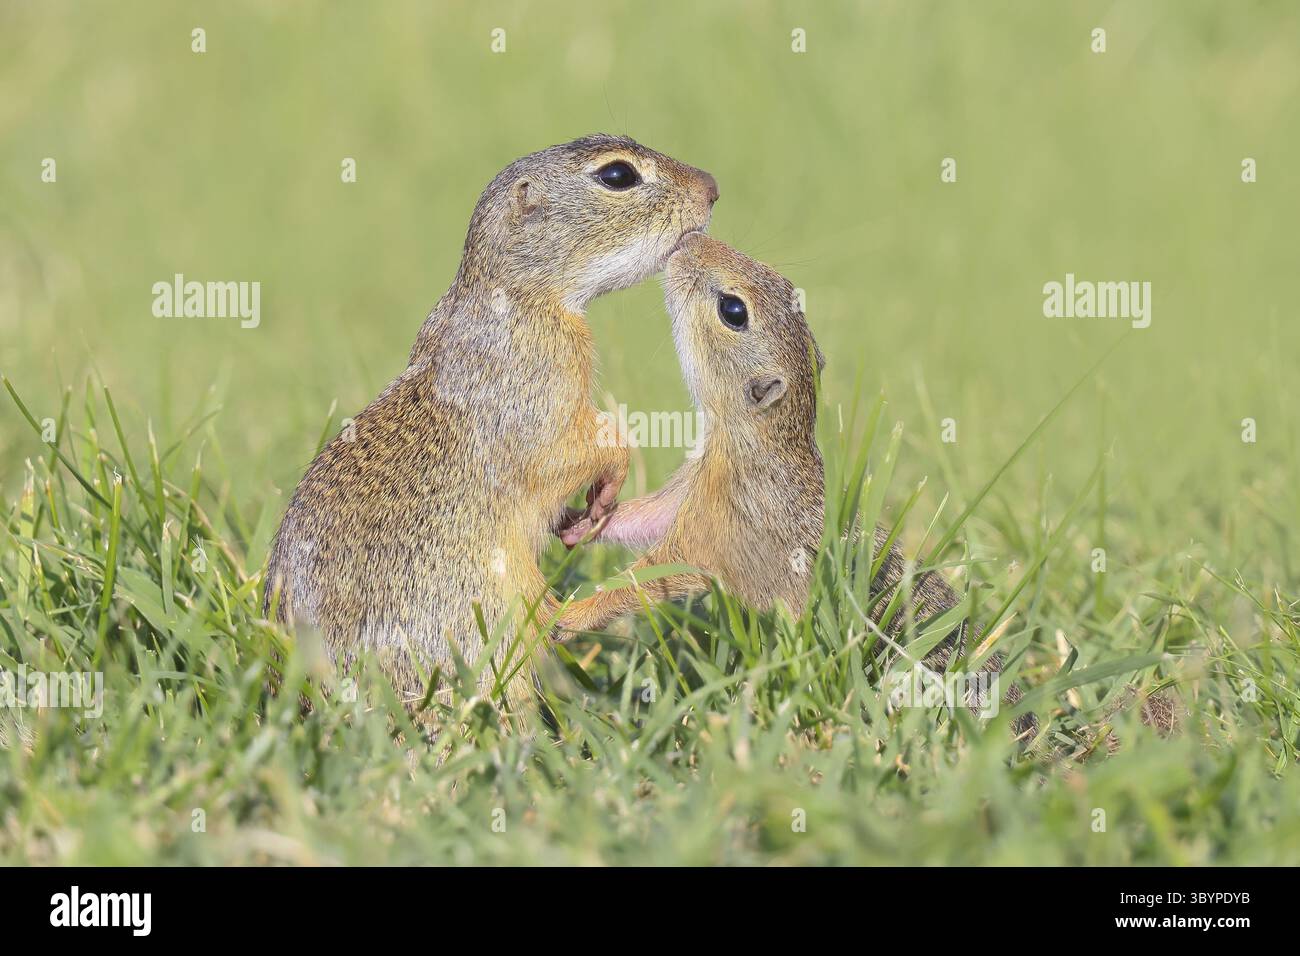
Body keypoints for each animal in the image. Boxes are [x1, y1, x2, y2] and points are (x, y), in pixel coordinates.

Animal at [264, 134, 719, 713]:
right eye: (617, 176)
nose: (712, 186)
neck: (519, 297)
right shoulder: (537, 405)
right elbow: (593, 446)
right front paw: (602, 494)